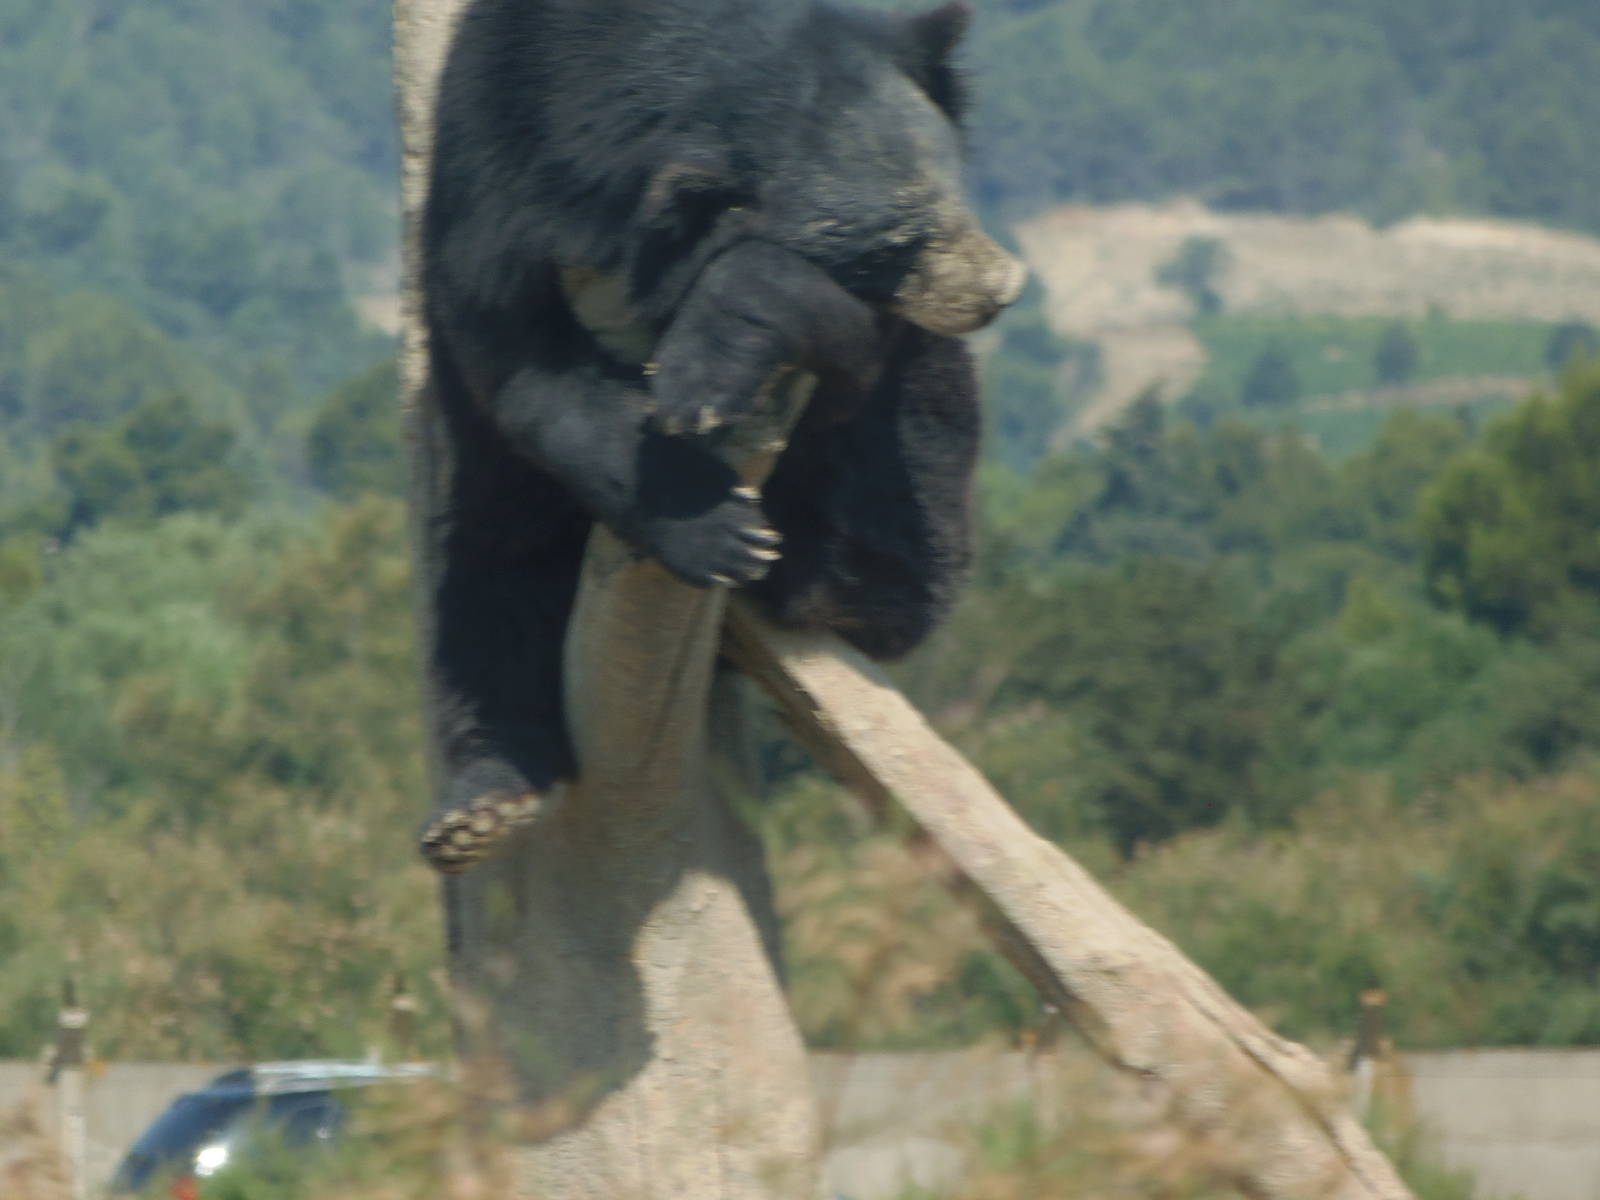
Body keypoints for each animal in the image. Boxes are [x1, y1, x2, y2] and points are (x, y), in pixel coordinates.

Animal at [416, 0, 1026, 872]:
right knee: (488, 584)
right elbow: (523, 374)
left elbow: (832, 340)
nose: (1001, 289)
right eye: (897, 244)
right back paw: (483, 801)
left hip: (911, 478)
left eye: (955, 193)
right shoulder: (490, 164)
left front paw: (702, 375)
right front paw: (717, 530)